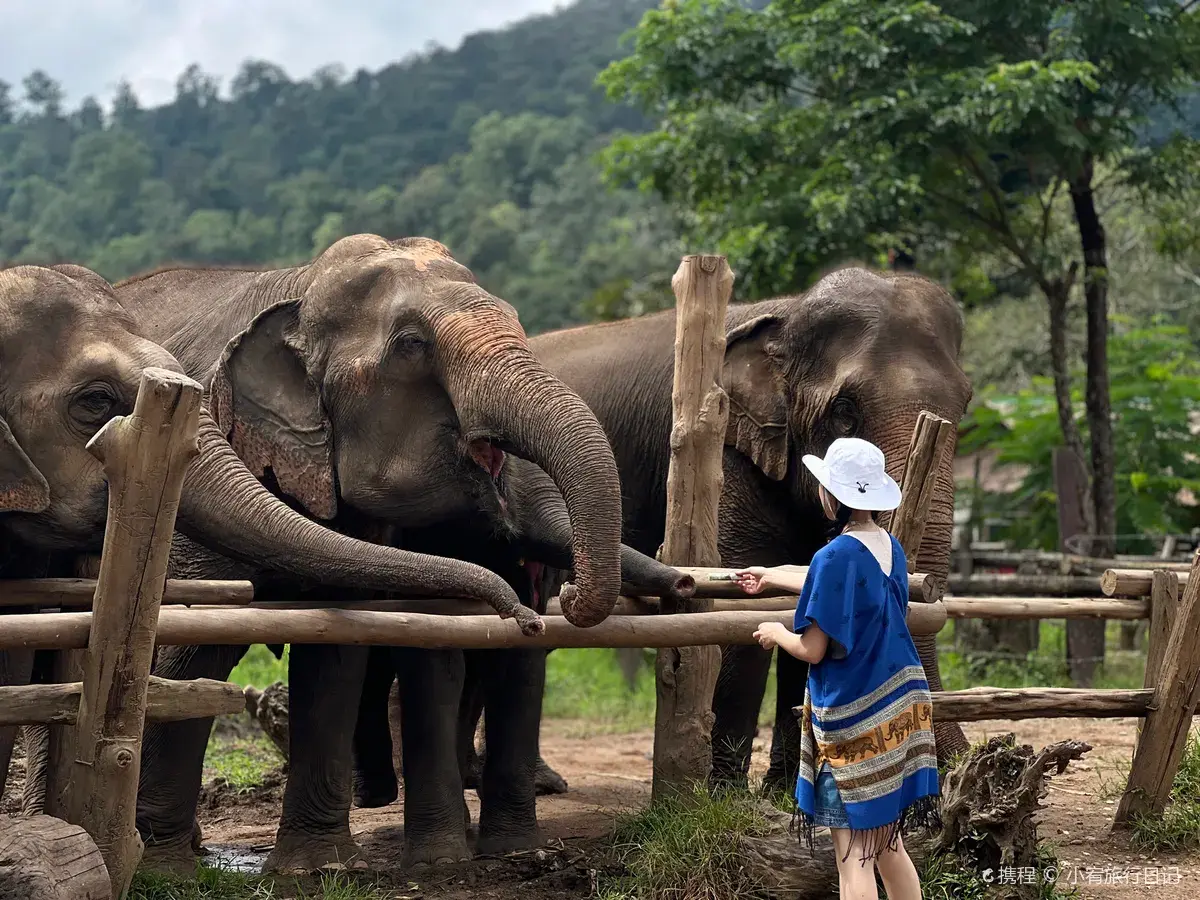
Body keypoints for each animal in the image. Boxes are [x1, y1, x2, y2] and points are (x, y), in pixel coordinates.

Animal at [109, 234, 670, 872]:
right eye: (411, 346)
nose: (552, 604)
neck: (298, 285)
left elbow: (337, 643)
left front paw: (317, 867)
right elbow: (196, 648)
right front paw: (164, 869)